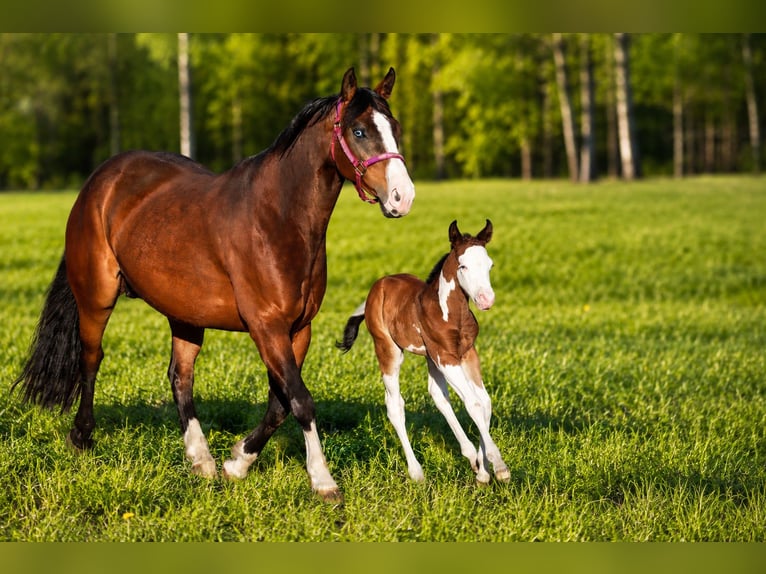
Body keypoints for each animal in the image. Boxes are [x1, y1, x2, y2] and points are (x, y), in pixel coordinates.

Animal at [12, 67, 415, 503]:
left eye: (394, 127)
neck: (278, 218)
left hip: (185, 314)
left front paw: (237, 462)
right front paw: (323, 481)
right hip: (96, 297)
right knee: (91, 358)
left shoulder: (297, 330)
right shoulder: (266, 327)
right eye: (359, 131)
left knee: (179, 377)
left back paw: (201, 460)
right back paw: (83, 437)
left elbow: (280, 403)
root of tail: (101, 180)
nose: (403, 197)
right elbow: (301, 401)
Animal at [336, 219, 509, 485]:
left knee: (438, 396)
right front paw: (498, 467)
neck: (450, 313)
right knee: (395, 404)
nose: (485, 299)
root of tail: (379, 286)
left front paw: (482, 471)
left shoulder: (467, 353)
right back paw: (416, 471)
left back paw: (470, 456)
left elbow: (485, 401)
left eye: (490, 265)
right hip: (389, 350)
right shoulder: (445, 356)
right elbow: (473, 403)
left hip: (429, 357)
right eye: (463, 265)